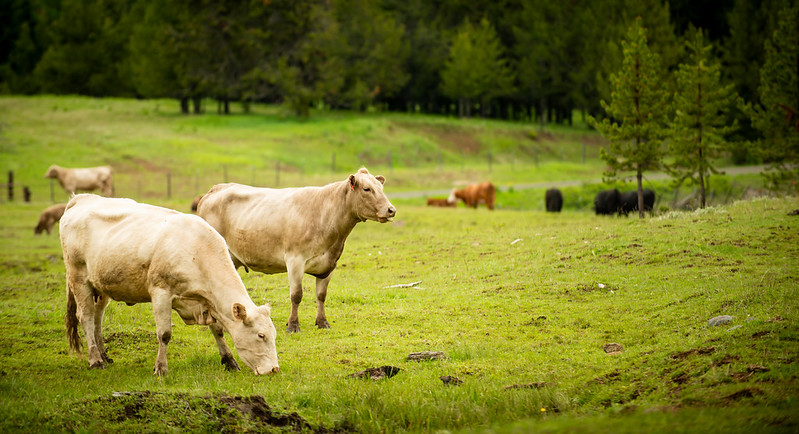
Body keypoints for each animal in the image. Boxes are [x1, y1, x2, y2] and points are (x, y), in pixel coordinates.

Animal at [60, 194, 279, 376]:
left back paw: (104, 355)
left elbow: (218, 329)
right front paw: (161, 368)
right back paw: (95, 360)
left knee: (97, 318)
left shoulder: (208, 302)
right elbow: (164, 334)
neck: (197, 251)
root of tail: (81, 199)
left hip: (101, 287)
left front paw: (229, 361)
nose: (274, 369)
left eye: (274, 334)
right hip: (78, 279)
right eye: (261, 335)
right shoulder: (161, 293)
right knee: (86, 317)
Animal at [197, 167, 396, 333]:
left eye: (381, 187)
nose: (391, 210)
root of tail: (216, 189)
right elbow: (296, 295)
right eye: (367, 189)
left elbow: (321, 295)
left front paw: (322, 322)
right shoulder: (295, 260)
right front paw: (293, 325)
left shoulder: (329, 264)